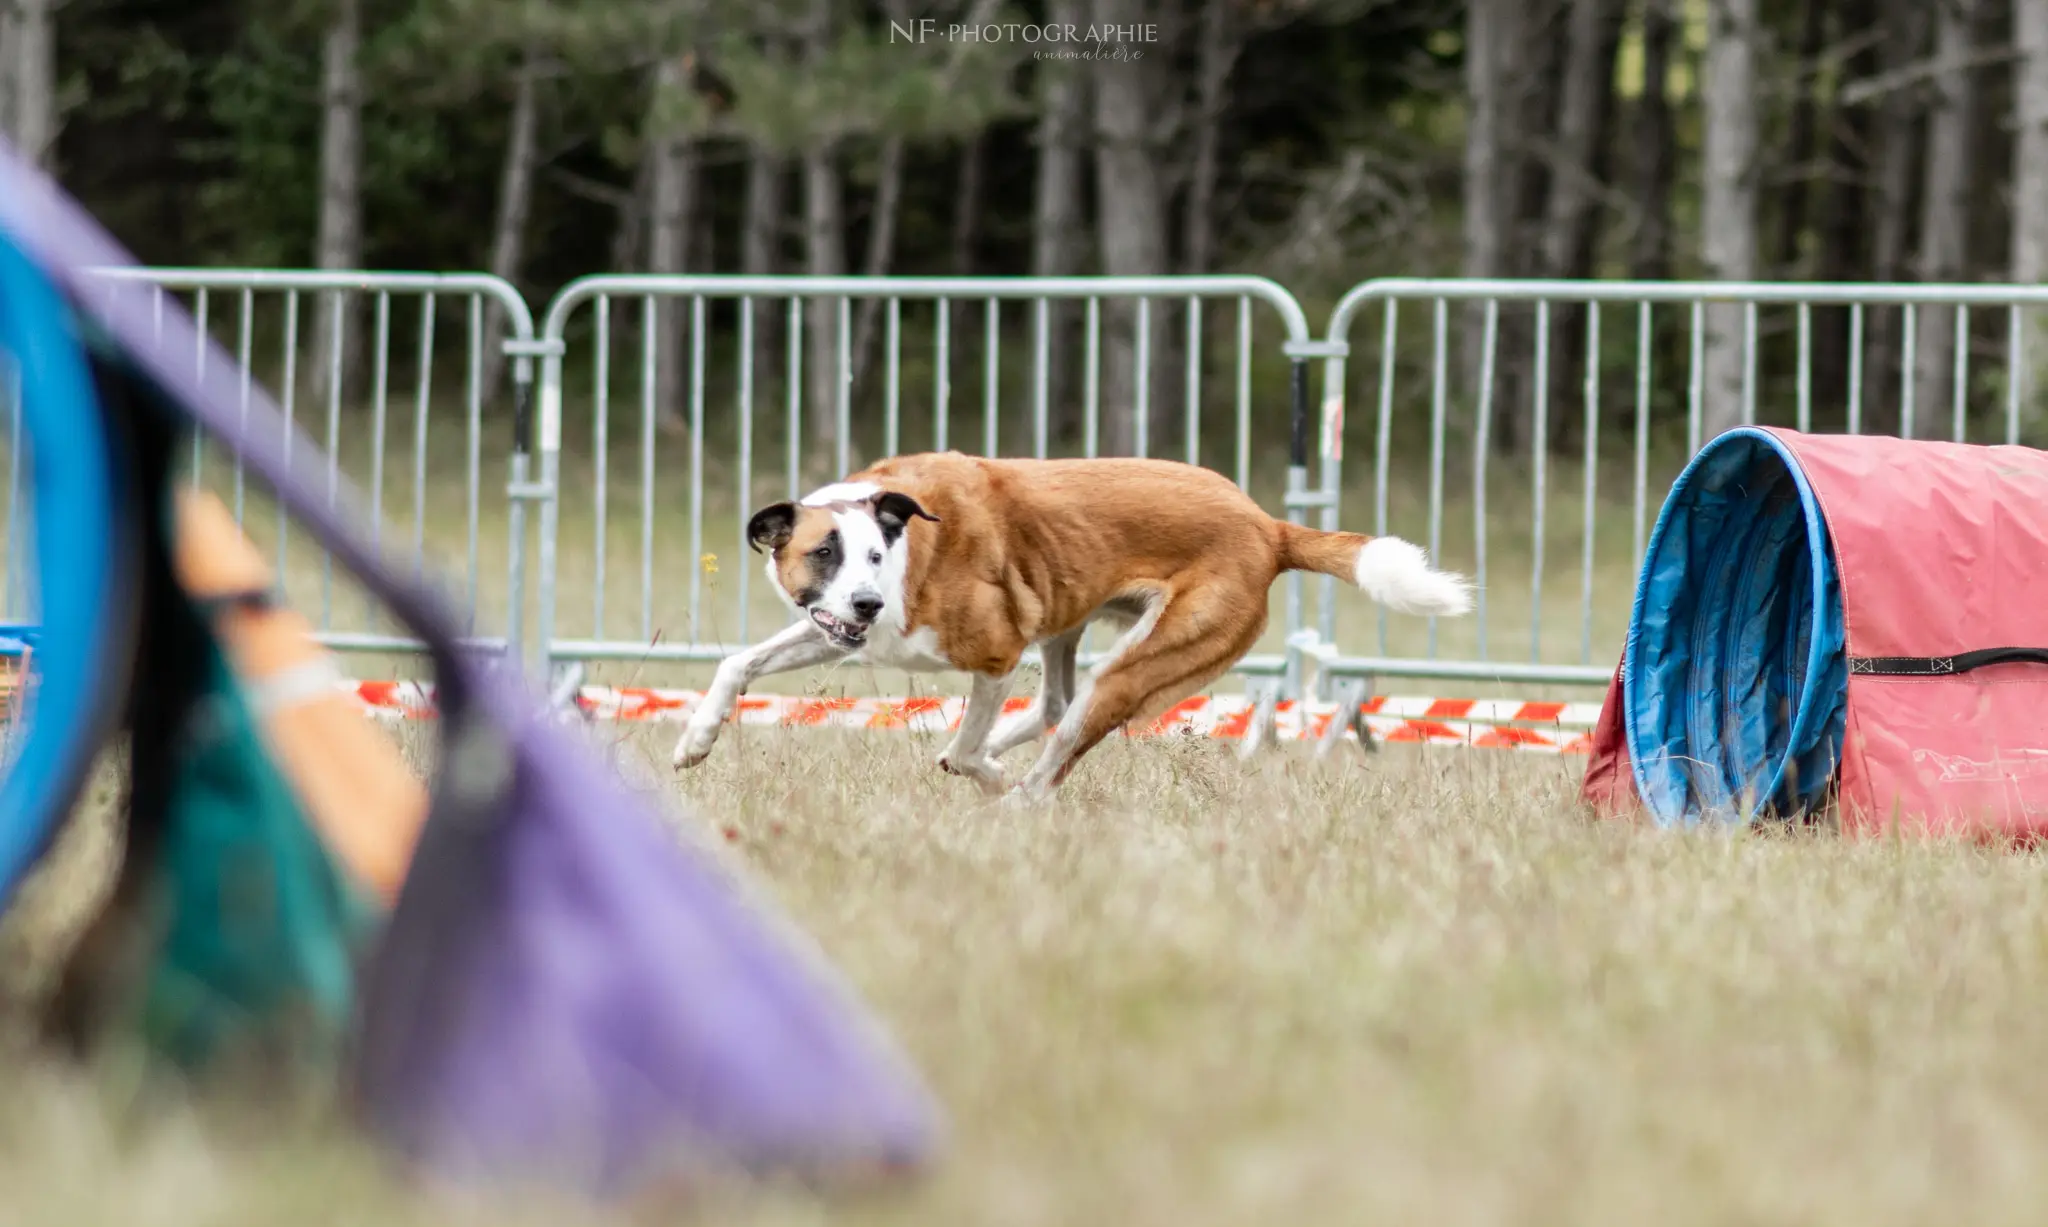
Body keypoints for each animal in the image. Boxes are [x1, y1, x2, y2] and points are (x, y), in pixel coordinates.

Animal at [675, 456, 1474, 802]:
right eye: (823, 553)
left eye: (873, 555)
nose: (869, 601)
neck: (909, 541)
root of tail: (1268, 526)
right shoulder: (835, 627)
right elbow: (736, 664)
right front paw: (695, 741)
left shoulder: (995, 654)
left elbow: (968, 747)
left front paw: (987, 771)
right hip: (1069, 624)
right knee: (1055, 705)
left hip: (1139, 663)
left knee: (1057, 746)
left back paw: (1014, 794)